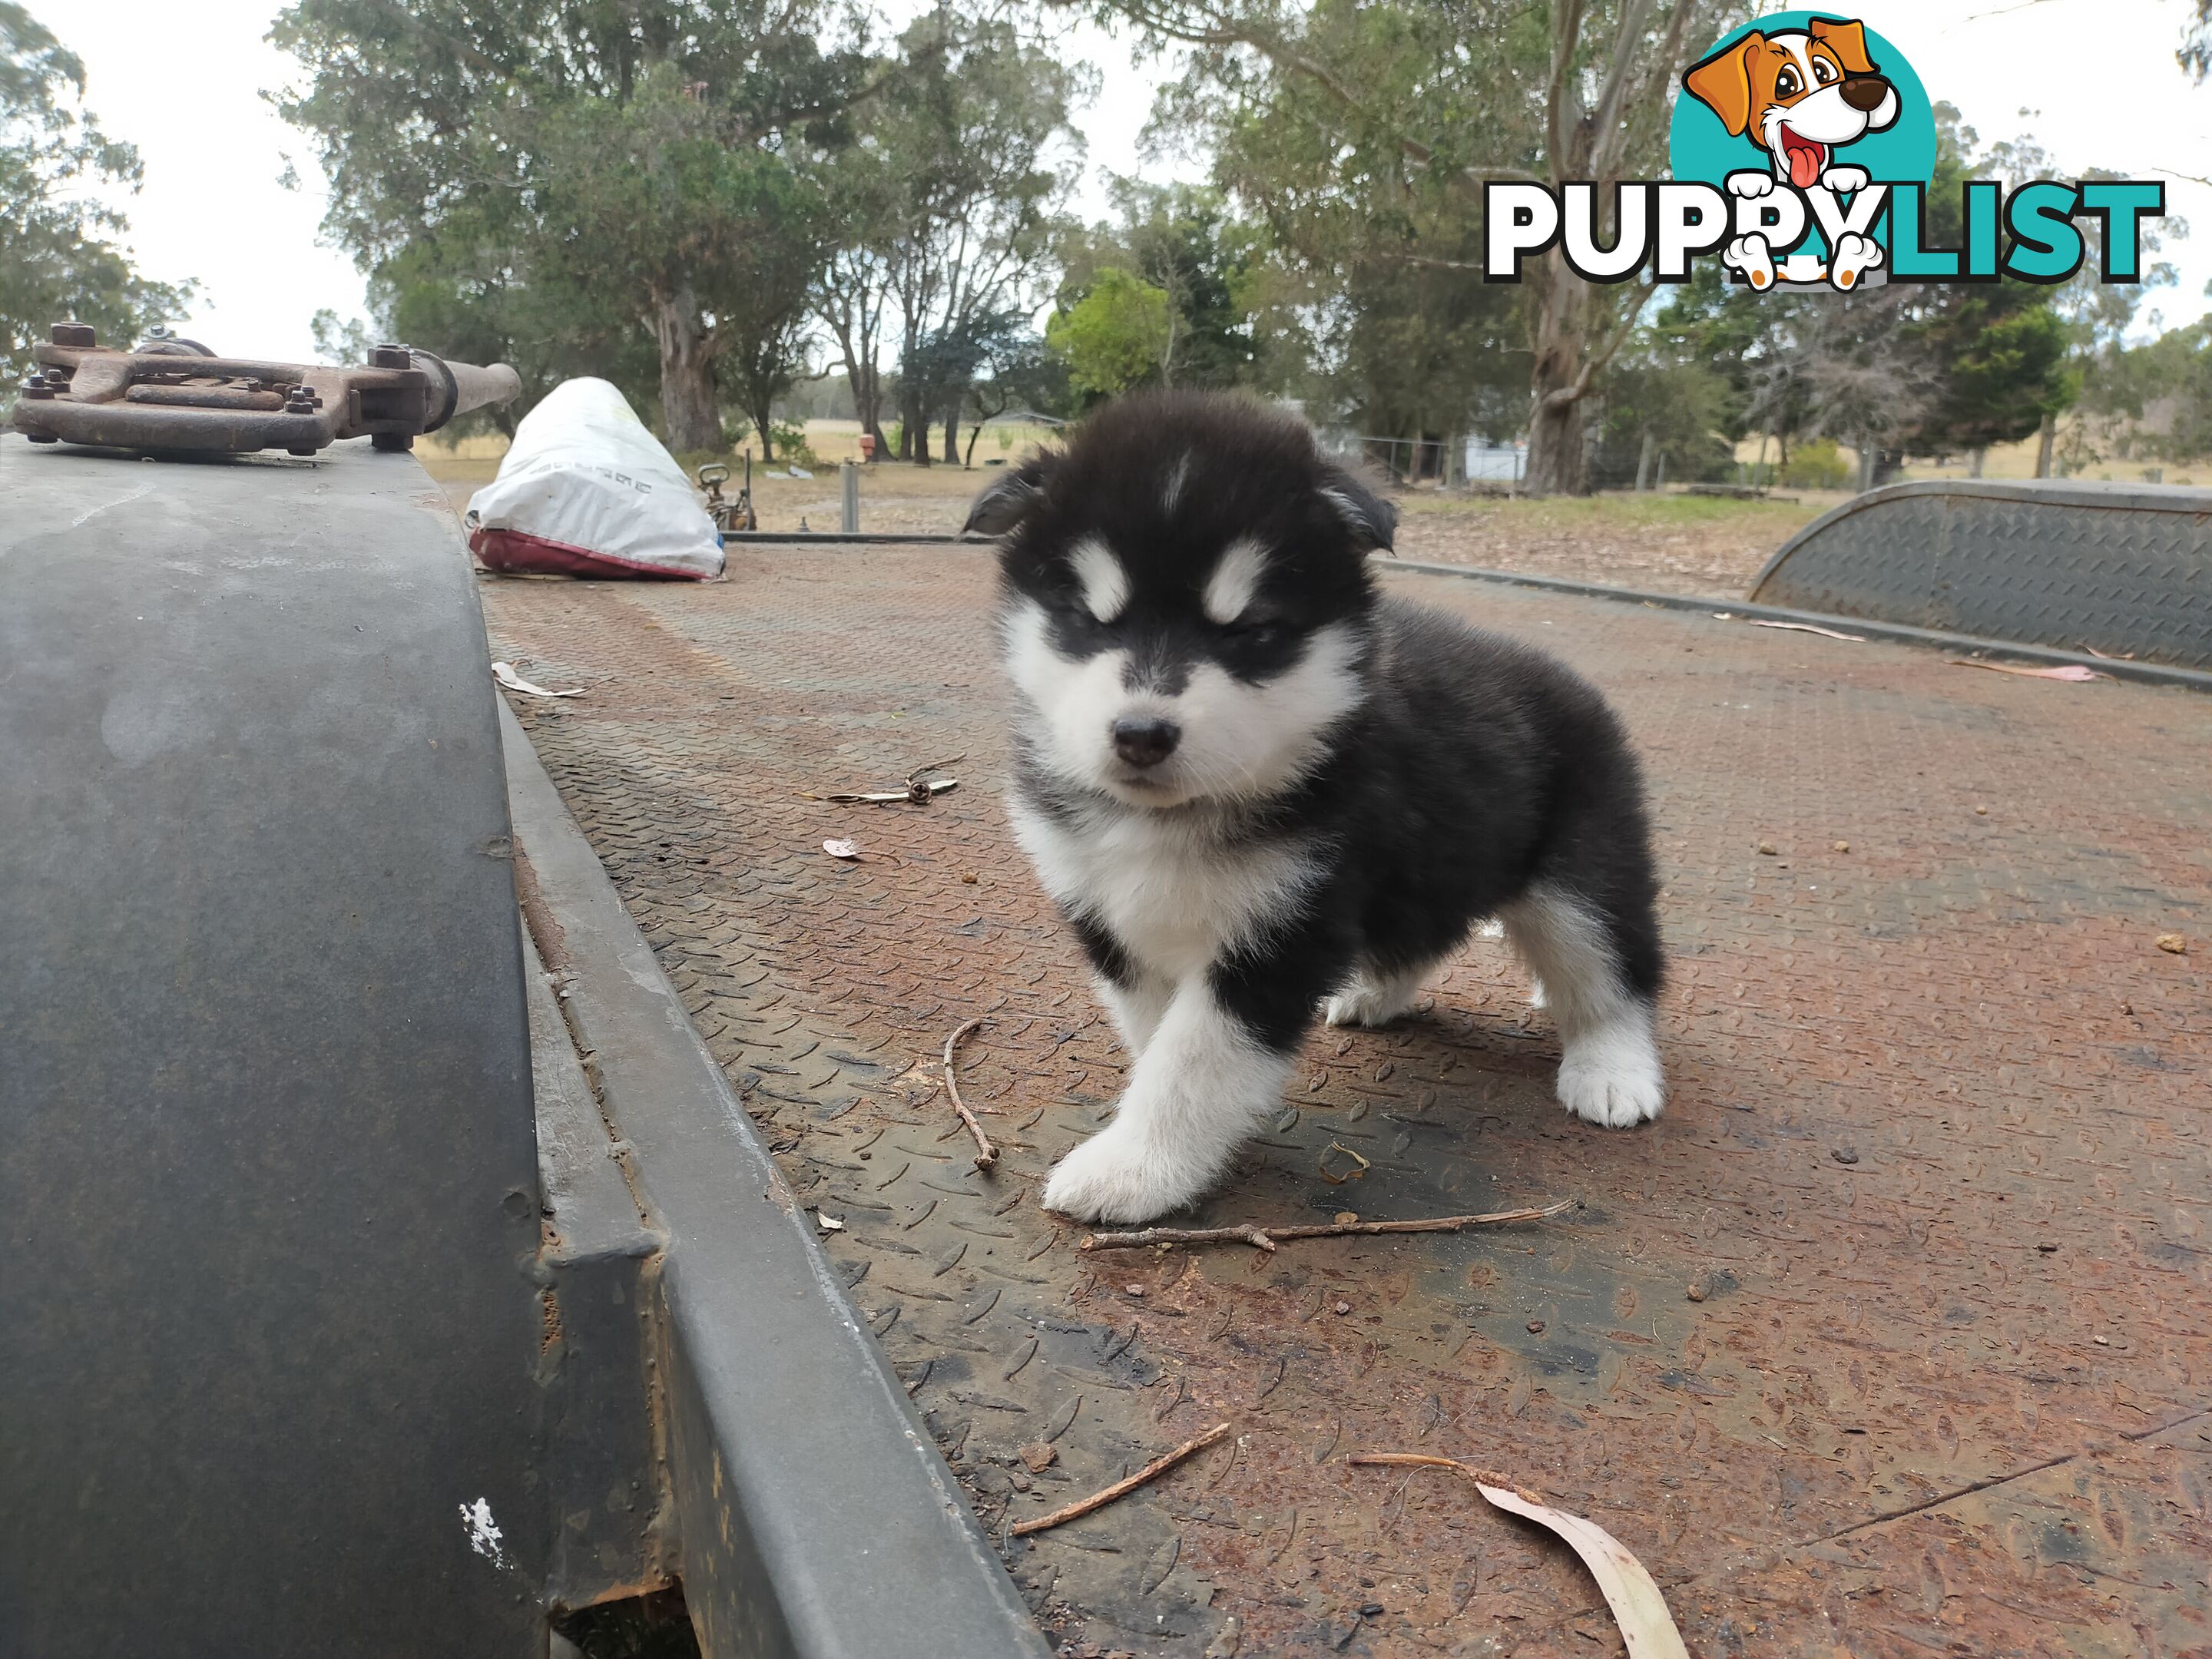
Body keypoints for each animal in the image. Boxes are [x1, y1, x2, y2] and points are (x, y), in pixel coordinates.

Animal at [969, 400, 1663, 1238]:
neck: (1171, 820)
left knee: (1614, 971)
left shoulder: (1283, 928)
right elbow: (1156, 1035)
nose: (1140, 734)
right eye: (1086, 618)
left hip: (1582, 876)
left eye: (1247, 630)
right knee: (1425, 930)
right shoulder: (1107, 914)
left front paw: (1134, 1169)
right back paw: (1371, 994)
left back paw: (1614, 1071)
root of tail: (1569, 678)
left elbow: (1190, 1058)